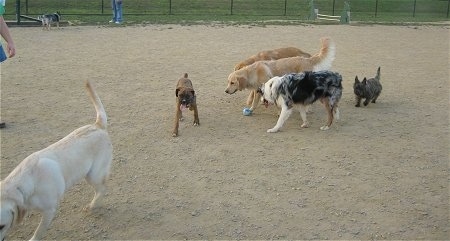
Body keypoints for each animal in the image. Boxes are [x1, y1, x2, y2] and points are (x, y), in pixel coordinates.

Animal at [0, 81, 112, 241]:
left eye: (1, 226)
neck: (23, 185)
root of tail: (97, 125)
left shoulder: (49, 210)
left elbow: (39, 231)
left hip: (93, 175)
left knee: (102, 189)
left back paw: (92, 206)